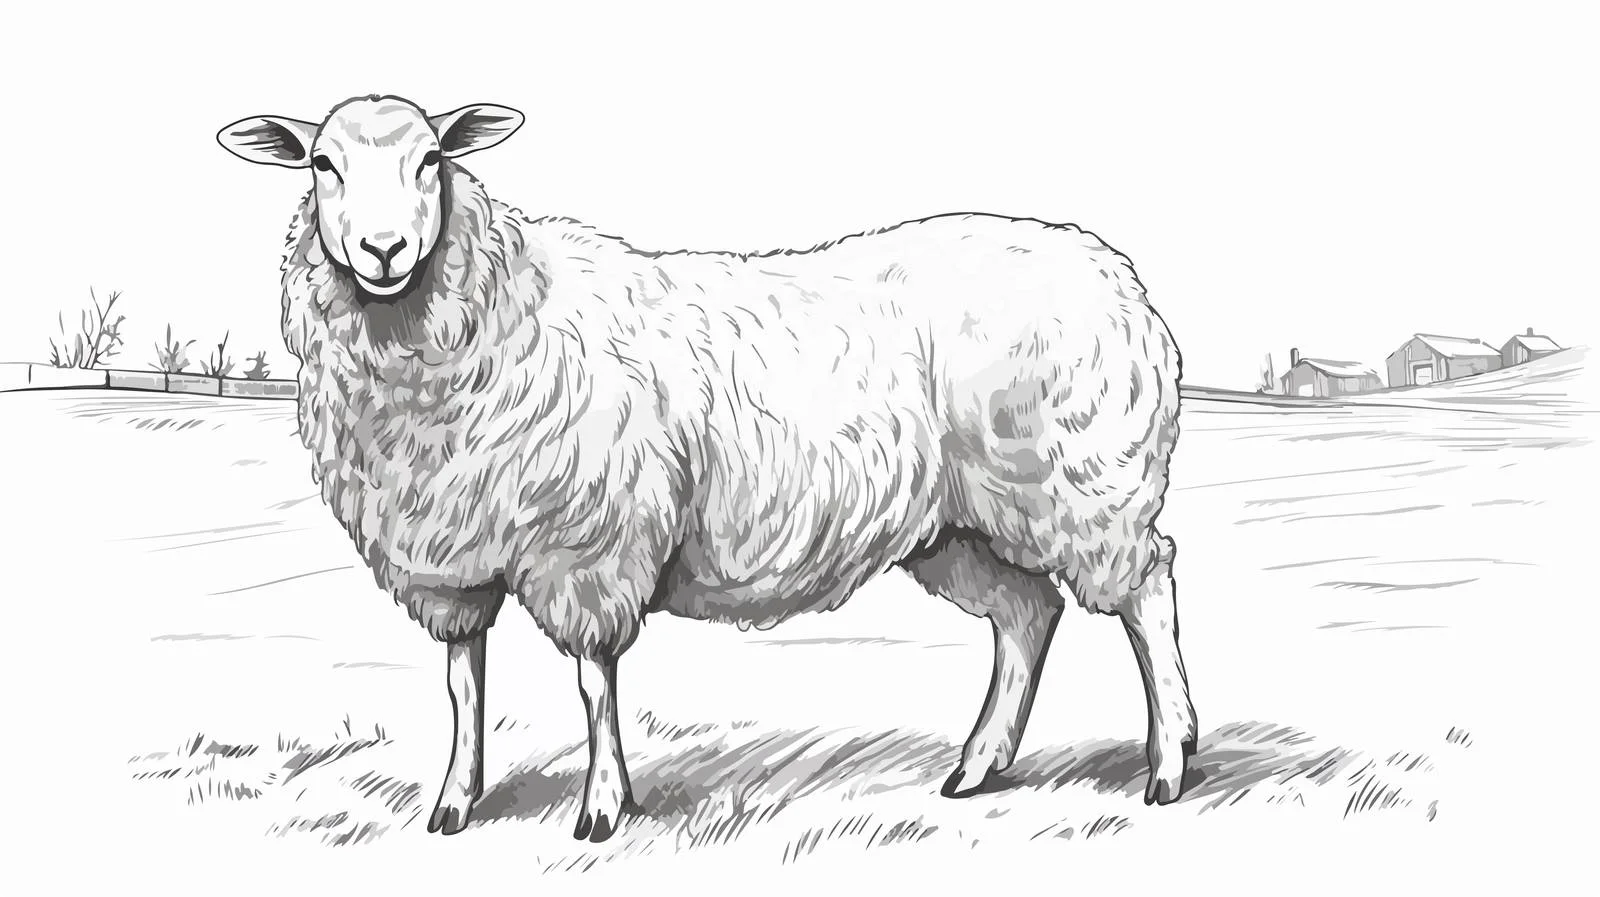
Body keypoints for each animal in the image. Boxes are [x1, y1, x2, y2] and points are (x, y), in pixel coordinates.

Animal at [216, 94, 1197, 842]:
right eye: (322, 164)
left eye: (431, 159)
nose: (383, 250)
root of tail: (1123, 279)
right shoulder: (451, 554)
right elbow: (463, 682)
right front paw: (455, 802)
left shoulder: (590, 544)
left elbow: (593, 681)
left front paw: (602, 809)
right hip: (962, 521)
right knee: (1027, 616)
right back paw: (979, 764)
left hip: (1085, 484)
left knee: (1147, 590)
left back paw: (1170, 762)